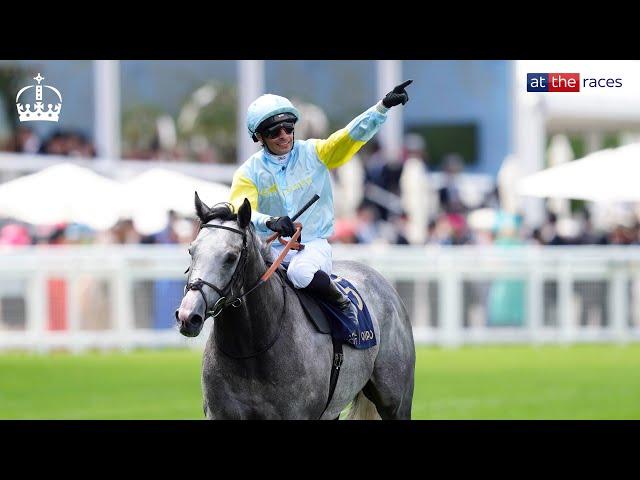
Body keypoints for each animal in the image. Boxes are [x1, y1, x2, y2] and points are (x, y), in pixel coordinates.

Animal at [176, 194, 416, 420]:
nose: (188, 315)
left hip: (396, 402)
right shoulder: (221, 413)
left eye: (230, 257)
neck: (251, 351)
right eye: (191, 250)